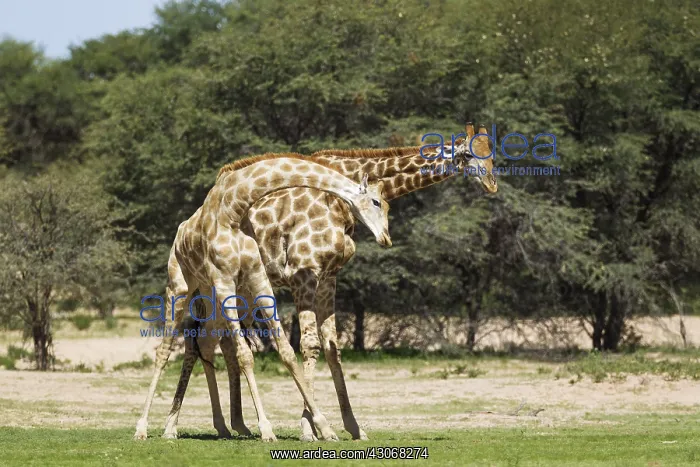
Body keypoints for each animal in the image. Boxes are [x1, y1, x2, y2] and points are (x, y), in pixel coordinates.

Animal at [133, 153, 392, 442]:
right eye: (377, 201)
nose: (386, 238)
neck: (234, 208)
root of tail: (179, 233)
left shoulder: (257, 277)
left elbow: (286, 350)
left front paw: (324, 427)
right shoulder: (225, 281)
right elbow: (245, 355)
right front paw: (267, 428)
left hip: (208, 295)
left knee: (204, 343)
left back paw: (197, 427)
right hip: (179, 288)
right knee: (164, 351)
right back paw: (143, 428)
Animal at [159, 123, 497, 441]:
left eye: (491, 153)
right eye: (470, 155)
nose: (492, 184)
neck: (337, 201)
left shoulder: (330, 275)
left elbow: (333, 347)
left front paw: (352, 426)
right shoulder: (304, 272)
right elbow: (309, 345)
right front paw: (310, 429)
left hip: (234, 291)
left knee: (212, 343)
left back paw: (232, 425)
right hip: (212, 289)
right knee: (197, 342)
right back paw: (175, 427)